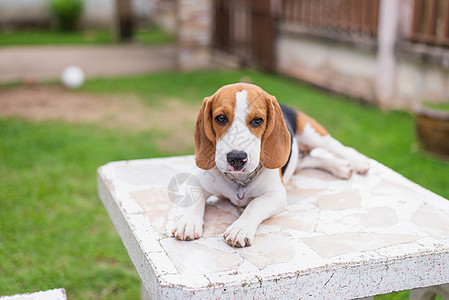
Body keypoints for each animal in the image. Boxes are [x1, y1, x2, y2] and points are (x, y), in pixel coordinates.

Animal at [171, 82, 368, 248]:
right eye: (220, 118)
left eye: (257, 120)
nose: (236, 158)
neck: (240, 181)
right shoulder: (198, 182)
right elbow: (195, 199)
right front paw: (188, 222)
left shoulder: (277, 195)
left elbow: (254, 204)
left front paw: (240, 228)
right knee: (312, 160)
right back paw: (341, 167)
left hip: (313, 133)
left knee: (339, 147)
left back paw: (358, 162)